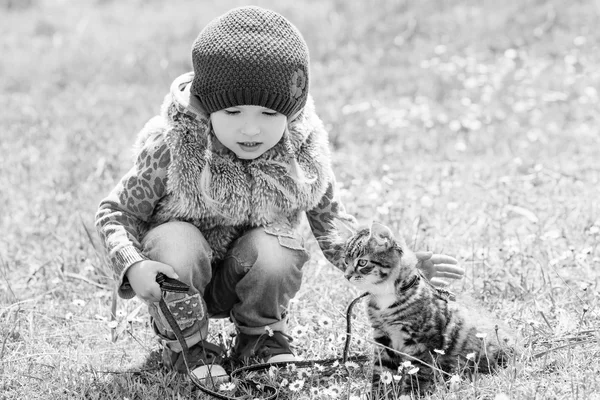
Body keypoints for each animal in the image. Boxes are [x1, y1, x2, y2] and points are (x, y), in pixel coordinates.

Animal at [344, 222, 516, 396]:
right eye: (346, 261)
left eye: (362, 263)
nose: (346, 275)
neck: (385, 295)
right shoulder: (383, 338)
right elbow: (383, 371)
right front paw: (379, 394)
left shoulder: (423, 341)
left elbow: (419, 372)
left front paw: (410, 395)